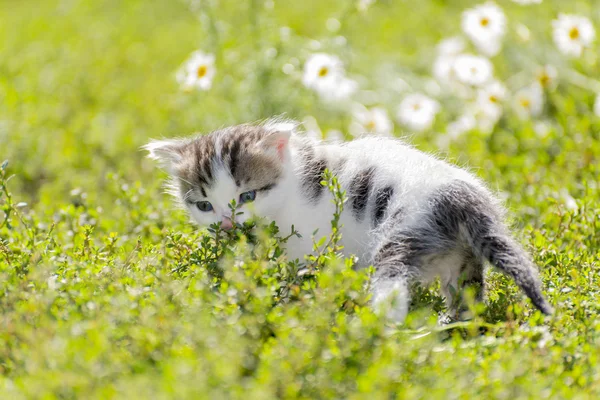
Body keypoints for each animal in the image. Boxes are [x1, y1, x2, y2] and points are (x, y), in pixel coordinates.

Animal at [144, 119, 552, 322]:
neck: (292, 188)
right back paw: (456, 324)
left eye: (247, 196)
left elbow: (297, 276)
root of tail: (464, 200)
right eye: (204, 206)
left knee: (392, 286)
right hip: (460, 258)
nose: (228, 224)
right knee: (467, 294)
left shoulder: (307, 246)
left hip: (401, 234)